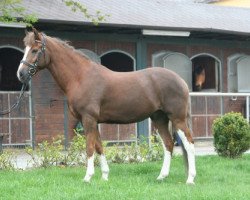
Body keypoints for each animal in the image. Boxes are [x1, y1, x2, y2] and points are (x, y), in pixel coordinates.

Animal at [17, 28, 196, 184]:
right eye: (25, 49)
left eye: (34, 50)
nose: (21, 74)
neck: (80, 77)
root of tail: (180, 80)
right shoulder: (93, 121)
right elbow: (99, 147)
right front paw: (104, 176)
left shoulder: (88, 119)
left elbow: (89, 147)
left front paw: (87, 177)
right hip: (159, 118)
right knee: (168, 144)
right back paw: (161, 177)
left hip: (177, 119)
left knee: (189, 144)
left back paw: (190, 179)